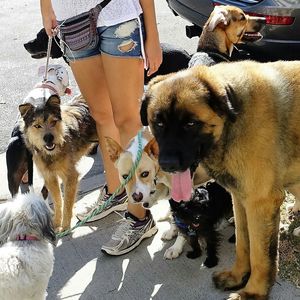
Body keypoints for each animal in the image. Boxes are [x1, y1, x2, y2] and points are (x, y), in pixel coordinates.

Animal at [19, 94, 96, 232]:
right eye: (37, 126)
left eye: (53, 122)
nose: (49, 138)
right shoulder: (49, 177)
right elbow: (58, 201)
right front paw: (56, 223)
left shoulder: (71, 176)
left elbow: (67, 203)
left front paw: (65, 226)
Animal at [141, 59, 300, 298]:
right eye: (158, 123)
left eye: (190, 124)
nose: (167, 164)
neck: (233, 118)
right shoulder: (240, 199)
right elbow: (243, 244)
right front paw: (237, 276)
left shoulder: (260, 203)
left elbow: (260, 256)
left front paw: (252, 292)